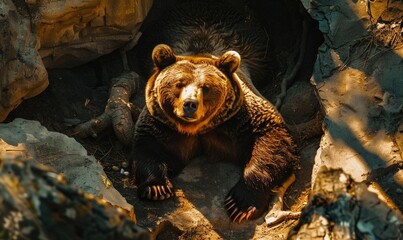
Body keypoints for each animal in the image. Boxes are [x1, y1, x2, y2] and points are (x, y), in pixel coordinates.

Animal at [129, 0, 300, 223]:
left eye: (205, 87)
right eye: (178, 84)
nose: (190, 104)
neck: (198, 128)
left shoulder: (240, 118)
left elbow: (272, 139)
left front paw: (240, 203)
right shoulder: (162, 123)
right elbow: (148, 145)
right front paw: (157, 187)